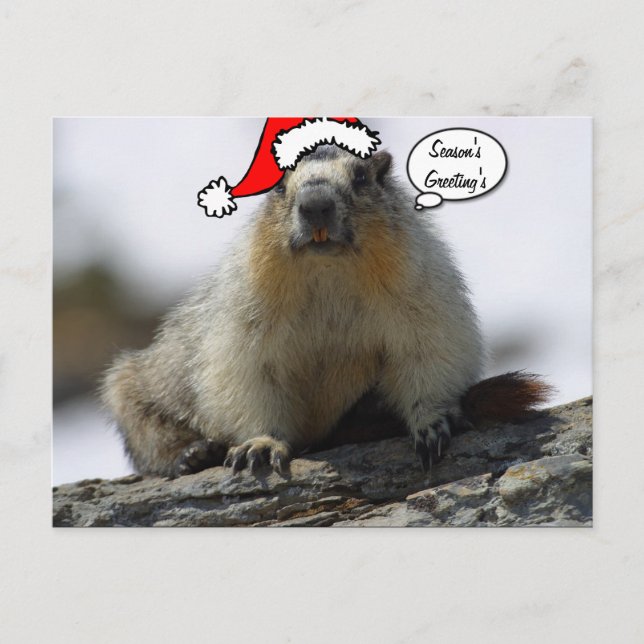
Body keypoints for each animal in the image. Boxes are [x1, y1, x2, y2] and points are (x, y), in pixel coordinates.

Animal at [101, 145, 552, 478]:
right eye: (278, 188)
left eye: (362, 178)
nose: (315, 204)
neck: (328, 269)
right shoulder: (245, 303)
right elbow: (247, 368)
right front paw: (260, 446)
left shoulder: (420, 283)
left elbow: (430, 346)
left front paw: (431, 424)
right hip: (133, 383)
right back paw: (193, 454)